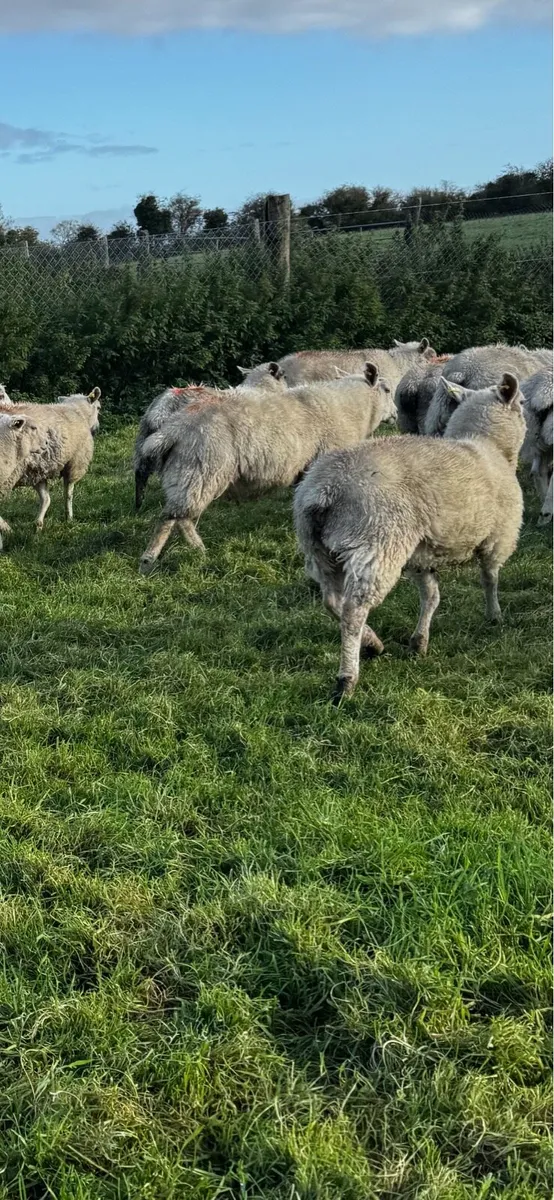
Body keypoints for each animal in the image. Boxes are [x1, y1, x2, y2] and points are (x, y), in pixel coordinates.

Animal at [5, 388, 101, 530]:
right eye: (98, 408)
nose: (97, 427)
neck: (77, 412)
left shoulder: (37, 470)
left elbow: (45, 498)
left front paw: (39, 524)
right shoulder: (74, 463)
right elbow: (68, 494)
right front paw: (69, 518)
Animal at [294, 372, 525, 702]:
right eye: (522, 402)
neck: (486, 445)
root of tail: (325, 490)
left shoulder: (422, 554)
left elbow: (431, 596)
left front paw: (419, 642)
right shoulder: (499, 538)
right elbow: (489, 579)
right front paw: (494, 616)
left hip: (319, 550)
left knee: (332, 601)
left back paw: (372, 643)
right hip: (378, 541)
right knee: (353, 610)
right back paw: (347, 679)